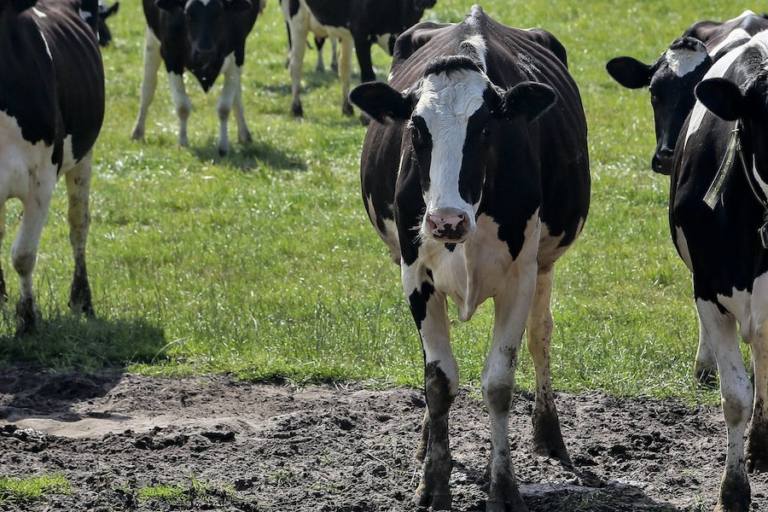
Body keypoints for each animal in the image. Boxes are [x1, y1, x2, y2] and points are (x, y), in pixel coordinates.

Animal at [0, 0, 105, 334]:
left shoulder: (41, 182)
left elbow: (23, 255)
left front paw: (27, 320)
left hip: (84, 155)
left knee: (78, 223)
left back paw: (82, 298)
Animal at [130, 0, 265, 156]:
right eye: (188, 15)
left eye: (219, 14)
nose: (204, 52)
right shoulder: (170, 55)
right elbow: (182, 106)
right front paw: (183, 143)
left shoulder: (237, 52)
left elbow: (224, 108)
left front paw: (223, 146)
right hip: (152, 38)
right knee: (148, 88)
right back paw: (138, 131)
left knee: (236, 96)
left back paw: (244, 134)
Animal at [283, 0, 436, 118]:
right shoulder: (361, 34)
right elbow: (368, 75)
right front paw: (366, 118)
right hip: (297, 20)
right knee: (295, 65)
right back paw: (296, 108)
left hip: (344, 34)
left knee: (344, 68)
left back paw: (347, 108)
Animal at [350, 6, 590, 510]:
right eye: (415, 130)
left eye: (484, 129)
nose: (446, 221)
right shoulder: (415, 275)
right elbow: (438, 381)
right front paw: (433, 483)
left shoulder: (519, 277)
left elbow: (498, 383)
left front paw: (504, 488)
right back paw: (425, 441)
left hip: (545, 265)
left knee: (541, 336)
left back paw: (549, 435)